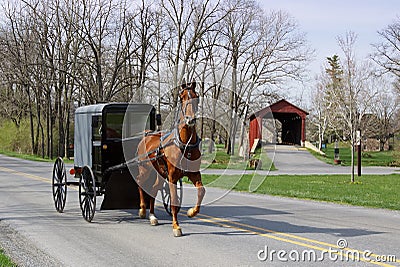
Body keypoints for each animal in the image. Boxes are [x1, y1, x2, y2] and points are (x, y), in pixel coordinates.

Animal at [135, 80, 205, 239]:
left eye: (196, 97)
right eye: (182, 97)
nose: (190, 119)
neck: (185, 144)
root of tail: (147, 135)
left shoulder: (194, 173)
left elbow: (201, 191)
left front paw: (192, 212)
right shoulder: (172, 177)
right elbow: (173, 201)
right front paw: (176, 226)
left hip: (160, 173)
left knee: (153, 189)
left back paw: (152, 216)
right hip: (145, 169)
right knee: (140, 182)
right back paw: (142, 210)